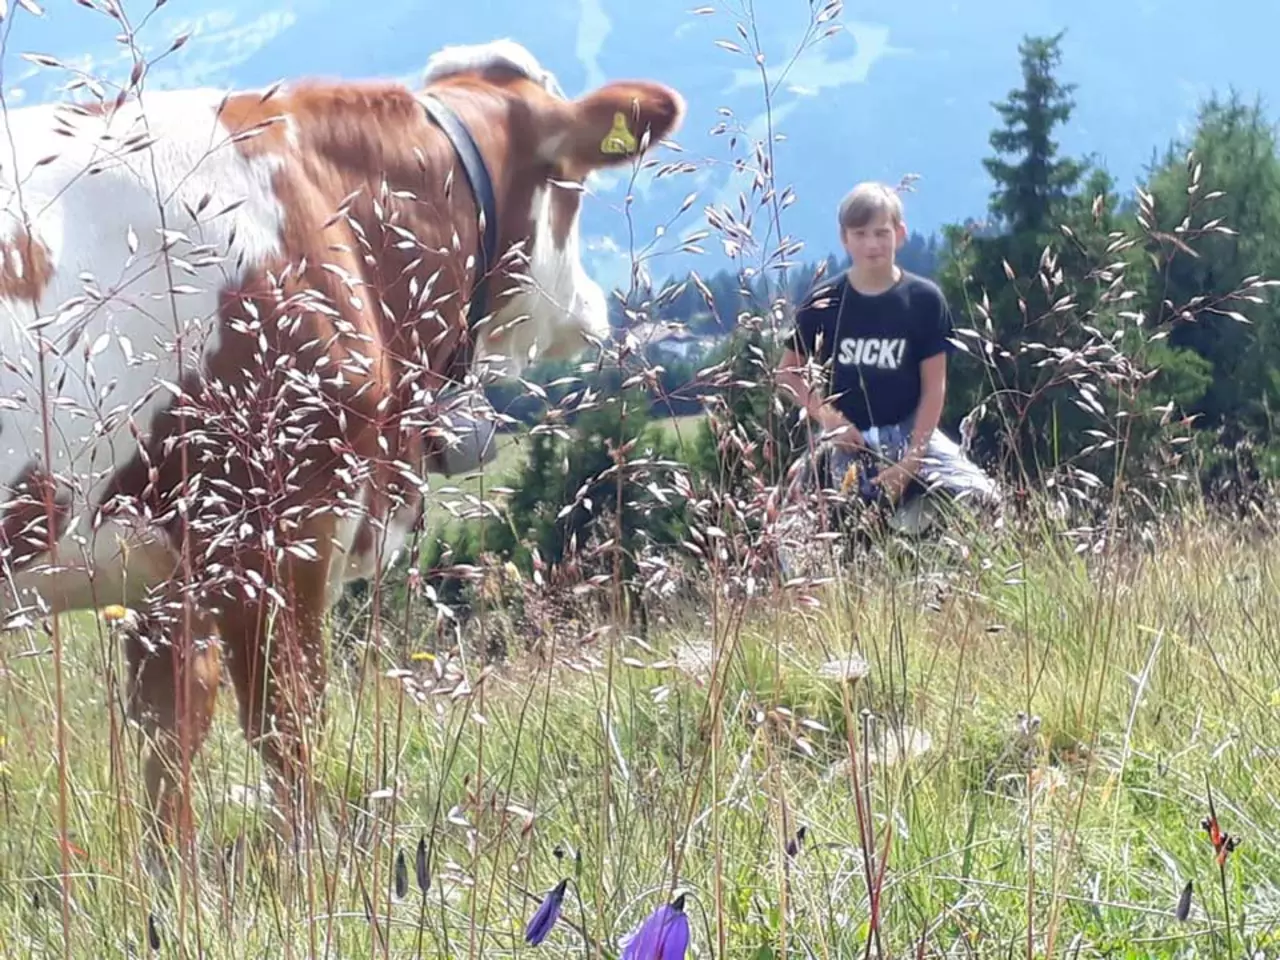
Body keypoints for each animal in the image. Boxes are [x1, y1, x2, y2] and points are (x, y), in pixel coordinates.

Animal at [0, 35, 686, 865]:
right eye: (575, 191)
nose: (596, 308)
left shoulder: (167, 569)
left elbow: (168, 735)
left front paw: (173, 884)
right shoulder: (274, 525)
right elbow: (287, 724)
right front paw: (309, 872)